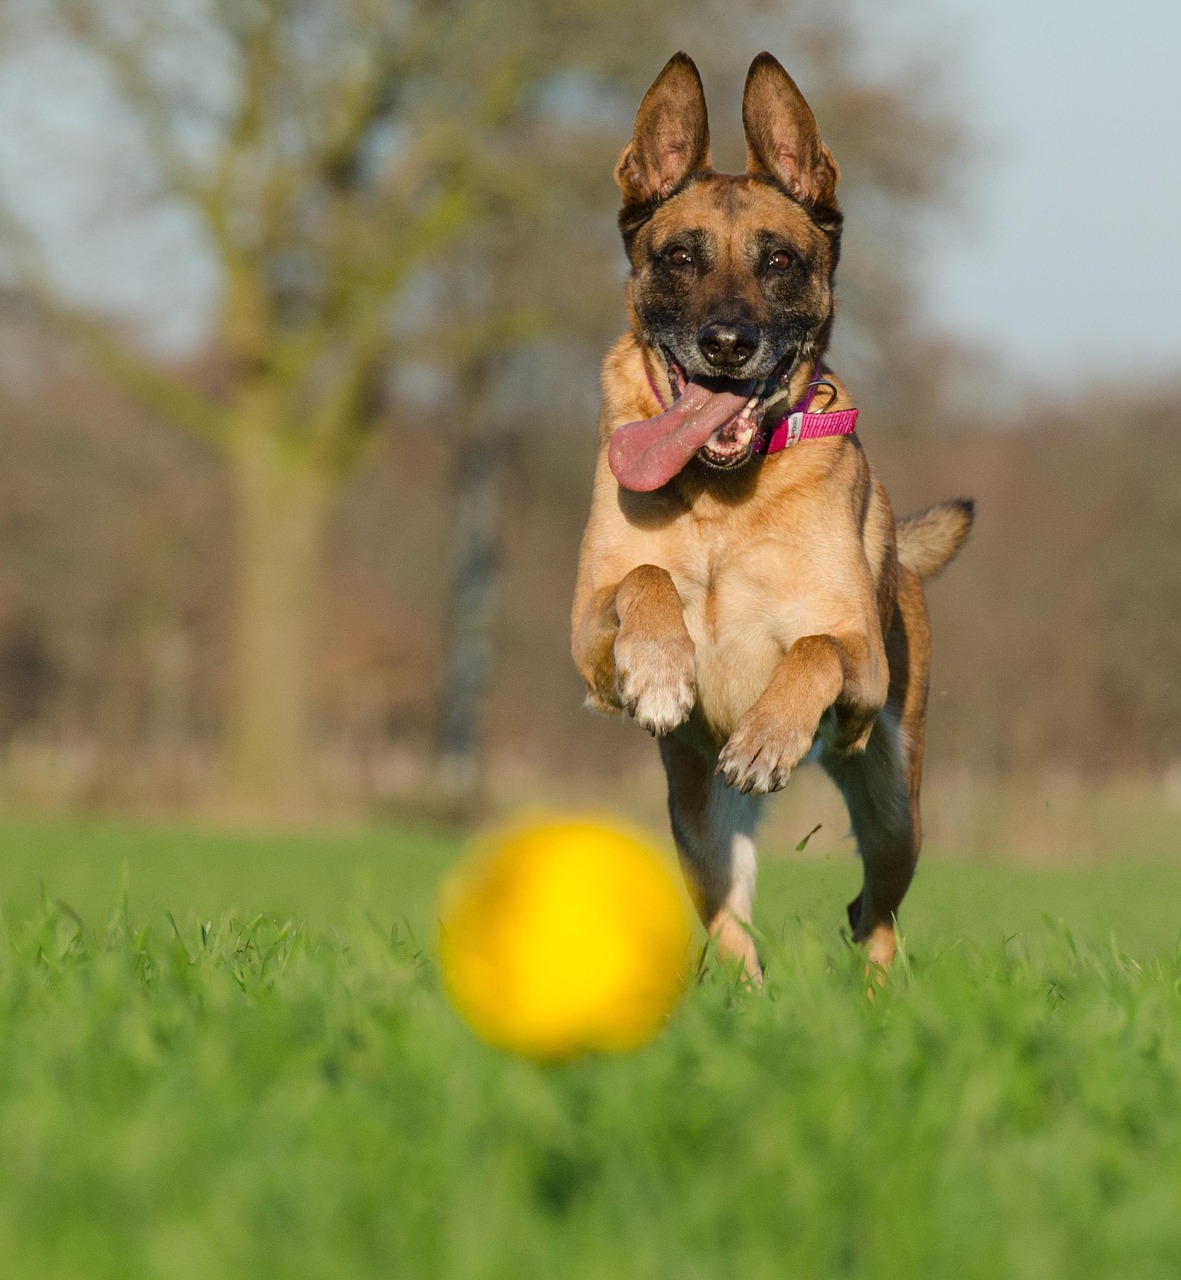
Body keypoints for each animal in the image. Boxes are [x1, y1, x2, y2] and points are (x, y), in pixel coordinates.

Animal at [570, 45, 967, 972]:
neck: (724, 500)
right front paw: (661, 669)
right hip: (699, 828)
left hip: (895, 810)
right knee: (732, 931)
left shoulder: (859, 664)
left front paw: (765, 737)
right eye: (680, 257)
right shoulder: (586, 646)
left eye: (779, 260)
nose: (725, 343)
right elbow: (643, 577)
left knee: (873, 913)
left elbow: (814, 647)